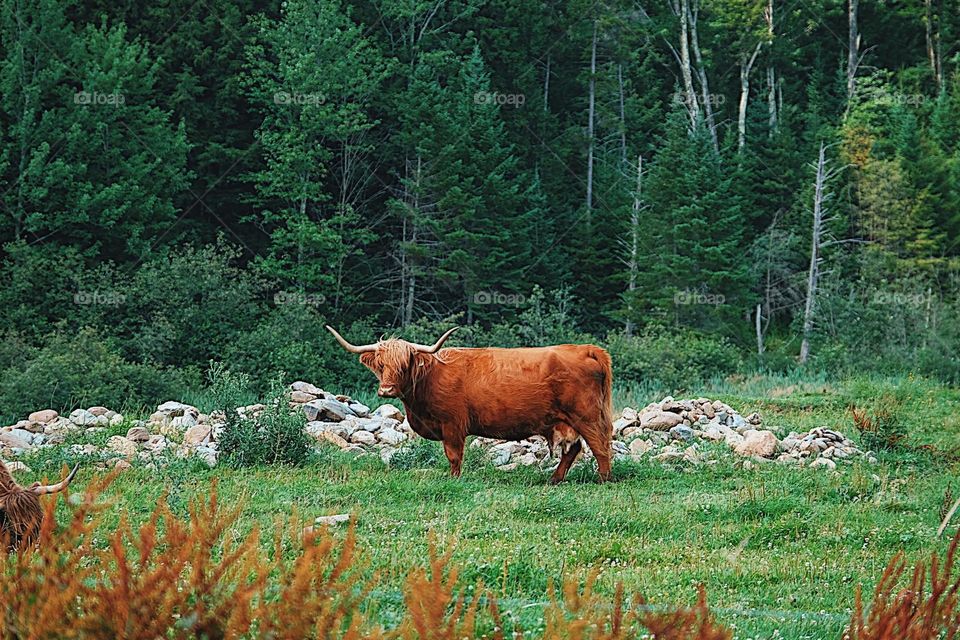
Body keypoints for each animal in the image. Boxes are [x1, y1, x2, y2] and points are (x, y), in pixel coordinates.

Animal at [326, 326, 614, 483]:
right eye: (381, 365)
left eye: (404, 364)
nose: (386, 390)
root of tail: (586, 348)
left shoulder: (452, 424)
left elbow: (454, 456)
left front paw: (454, 479)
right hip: (566, 420)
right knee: (573, 449)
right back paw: (554, 479)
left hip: (586, 415)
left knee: (600, 447)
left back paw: (603, 479)